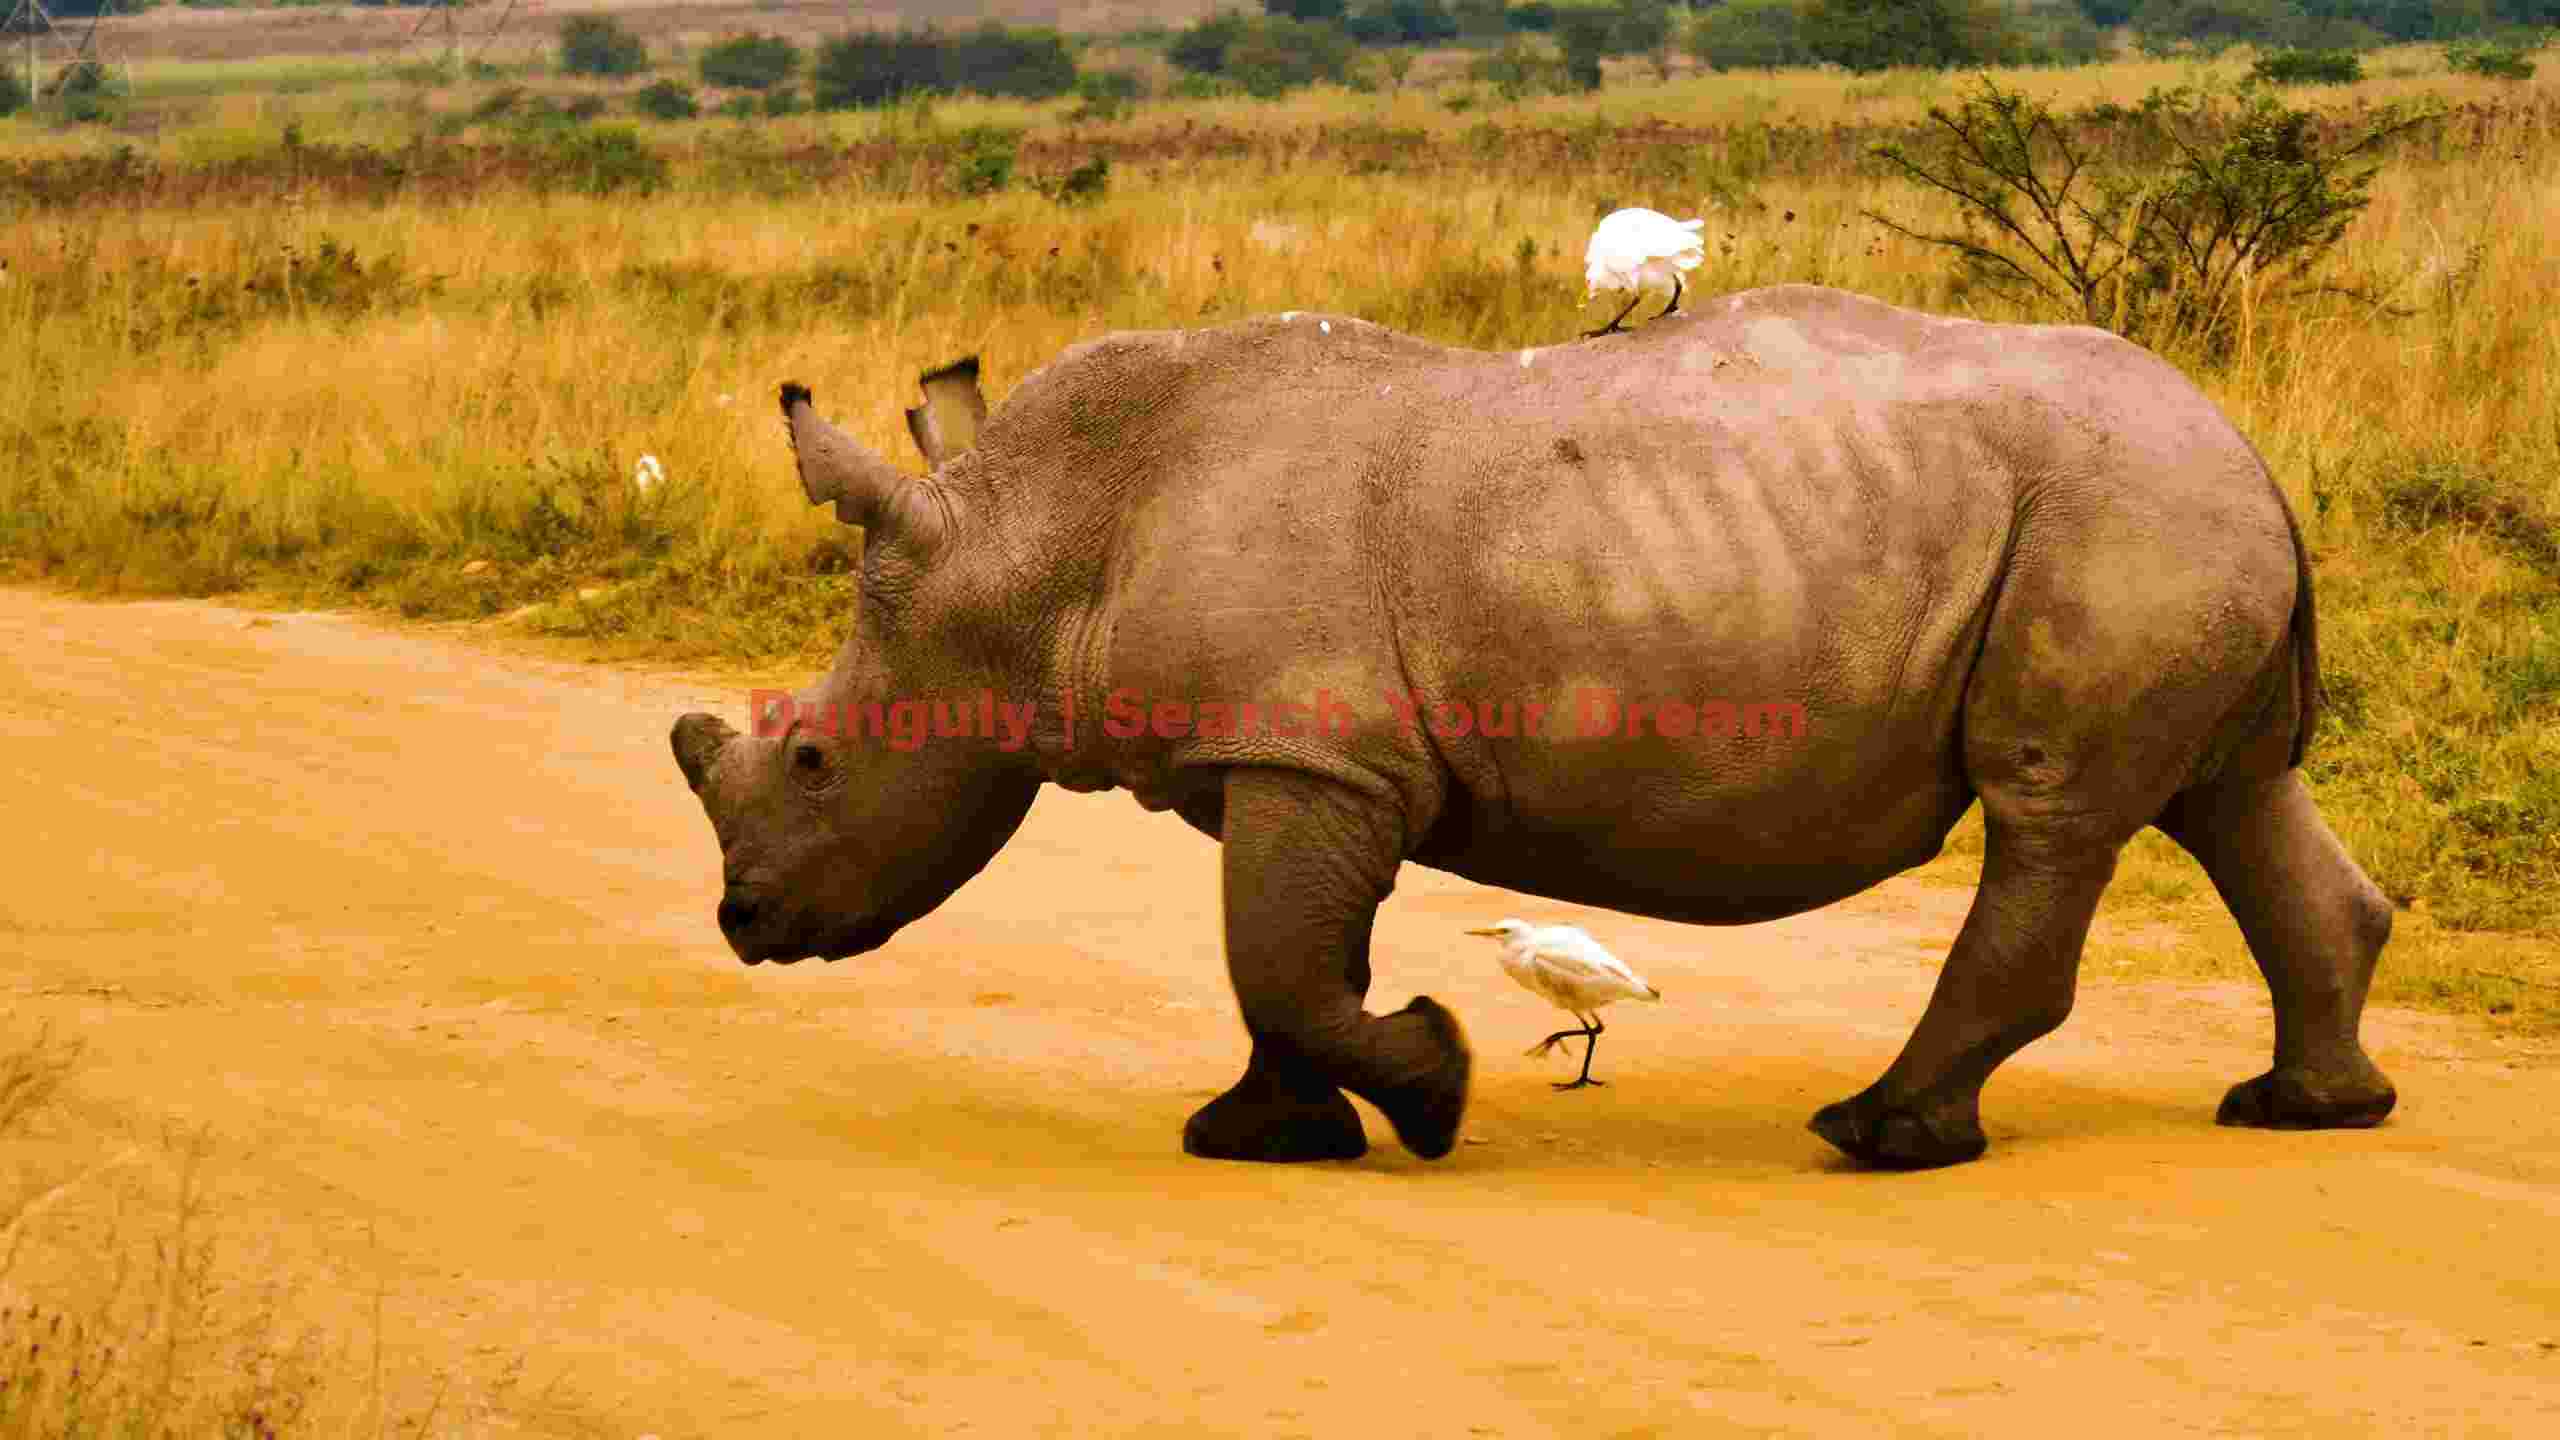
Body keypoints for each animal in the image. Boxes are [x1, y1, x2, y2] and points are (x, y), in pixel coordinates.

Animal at [670, 285, 2398, 1171]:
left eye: (814, 759)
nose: (743, 924)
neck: (1031, 543)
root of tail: (2247, 446)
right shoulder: (1294, 760)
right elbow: (1281, 964)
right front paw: (1258, 1138)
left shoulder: (1312, 751)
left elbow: (1280, 960)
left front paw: (1432, 1090)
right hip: (2157, 513)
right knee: (2235, 797)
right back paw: (2309, 1112)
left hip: (2126, 511)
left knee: (2055, 813)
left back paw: (1879, 1134)